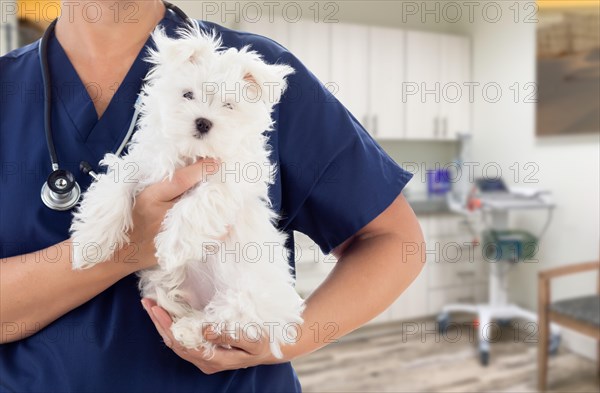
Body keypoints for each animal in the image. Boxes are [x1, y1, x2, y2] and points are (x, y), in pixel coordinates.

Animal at [70, 26, 304, 358]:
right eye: (188, 95)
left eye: (228, 106)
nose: (203, 122)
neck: (192, 155)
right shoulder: (145, 164)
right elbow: (115, 186)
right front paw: (92, 242)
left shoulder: (228, 181)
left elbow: (199, 203)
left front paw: (173, 245)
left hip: (246, 298)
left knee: (225, 322)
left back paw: (190, 331)